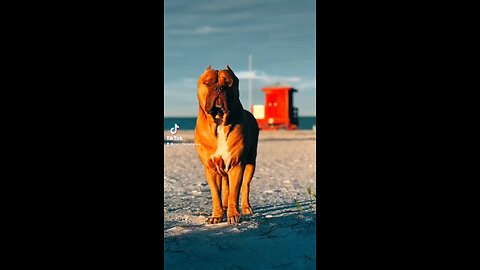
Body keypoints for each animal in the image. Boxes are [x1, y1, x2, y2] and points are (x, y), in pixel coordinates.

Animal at [194, 65, 258, 224]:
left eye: (229, 83)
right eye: (209, 83)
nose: (219, 88)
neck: (219, 122)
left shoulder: (236, 165)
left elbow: (235, 192)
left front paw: (233, 214)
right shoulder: (211, 168)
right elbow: (216, 194)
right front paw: (217, 216)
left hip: (251, 163)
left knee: (245, 186)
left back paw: (245, 208)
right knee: (225, 188)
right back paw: (223, 207)